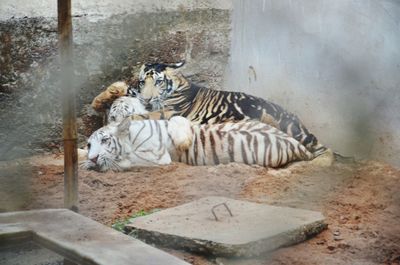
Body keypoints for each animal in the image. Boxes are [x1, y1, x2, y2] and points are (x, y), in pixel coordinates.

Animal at [93, 61, 328, 157]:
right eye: (143, 81)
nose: (147, 97)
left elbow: (142, 114)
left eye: (158, 82)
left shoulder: (170, 111)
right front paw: (104, 97)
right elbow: (126, 90)